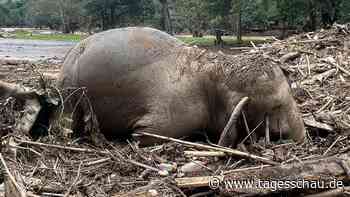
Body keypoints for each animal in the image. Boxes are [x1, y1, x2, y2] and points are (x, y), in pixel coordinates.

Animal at [57, 26, 304, 146]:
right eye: (276, 105)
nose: (302, 139)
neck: (215, 69)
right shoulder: (183, 111)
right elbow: (148, 132)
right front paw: (134, 137)